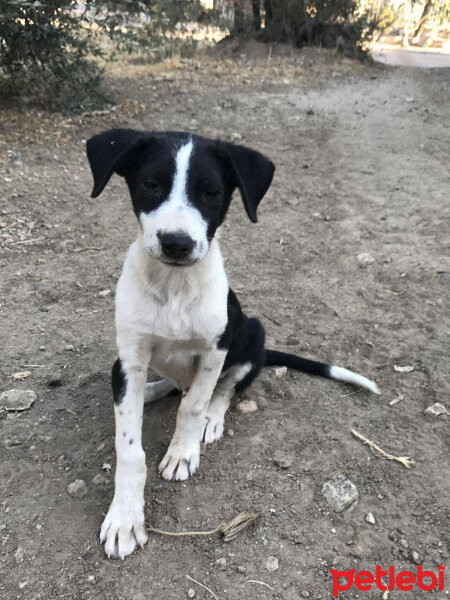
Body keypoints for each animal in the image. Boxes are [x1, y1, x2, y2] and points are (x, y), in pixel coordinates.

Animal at [85, 129, 380, 560]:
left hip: (253, 335)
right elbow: (129, 448)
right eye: (151, 184)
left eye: (211, 192)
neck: (174, 288)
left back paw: (212, 417)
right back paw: (153, 392)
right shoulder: (129, 361)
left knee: (222, 389)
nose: (176, 243)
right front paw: (124, 517)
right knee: (172, 386)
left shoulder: (215, 351)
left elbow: (192, 407)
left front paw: (183, 452)